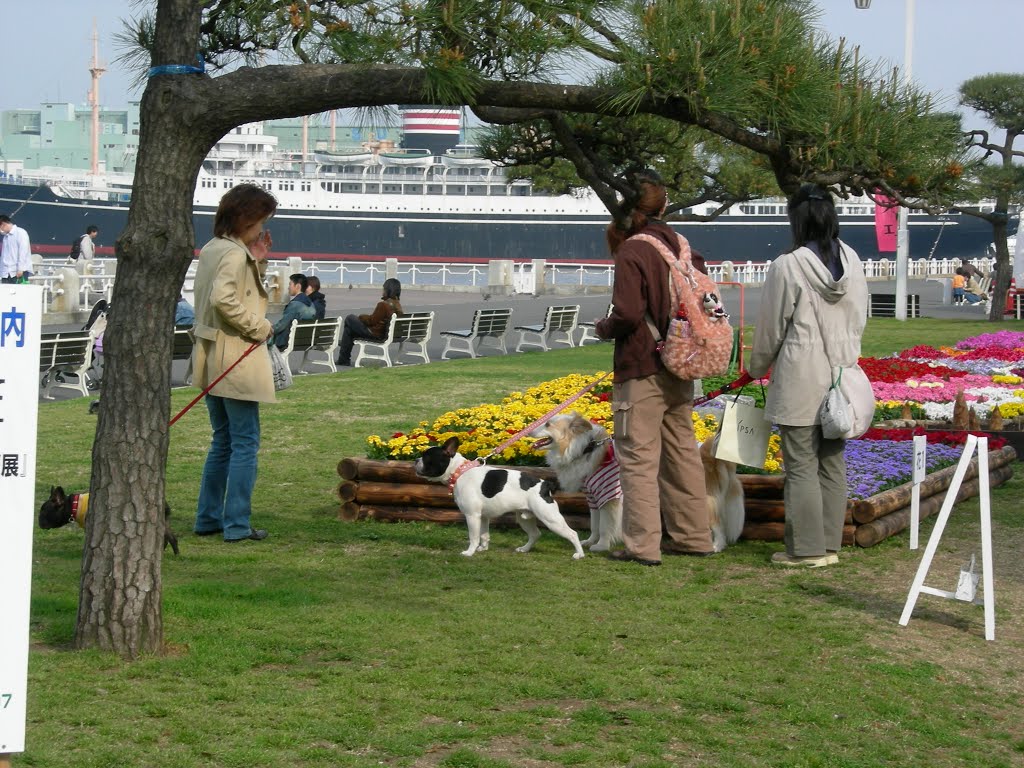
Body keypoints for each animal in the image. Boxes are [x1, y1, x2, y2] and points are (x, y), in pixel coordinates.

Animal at [536, 411, 745, 557]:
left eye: (548, 424)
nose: (532, 428)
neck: (585, 448)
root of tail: (709, 451)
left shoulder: (608, 497)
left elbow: (604, 526)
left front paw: (601, 546)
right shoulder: (593, 498)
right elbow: (594, 524)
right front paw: (589, 541)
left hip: (704, 499)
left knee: (718, 524)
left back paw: (716, 546)